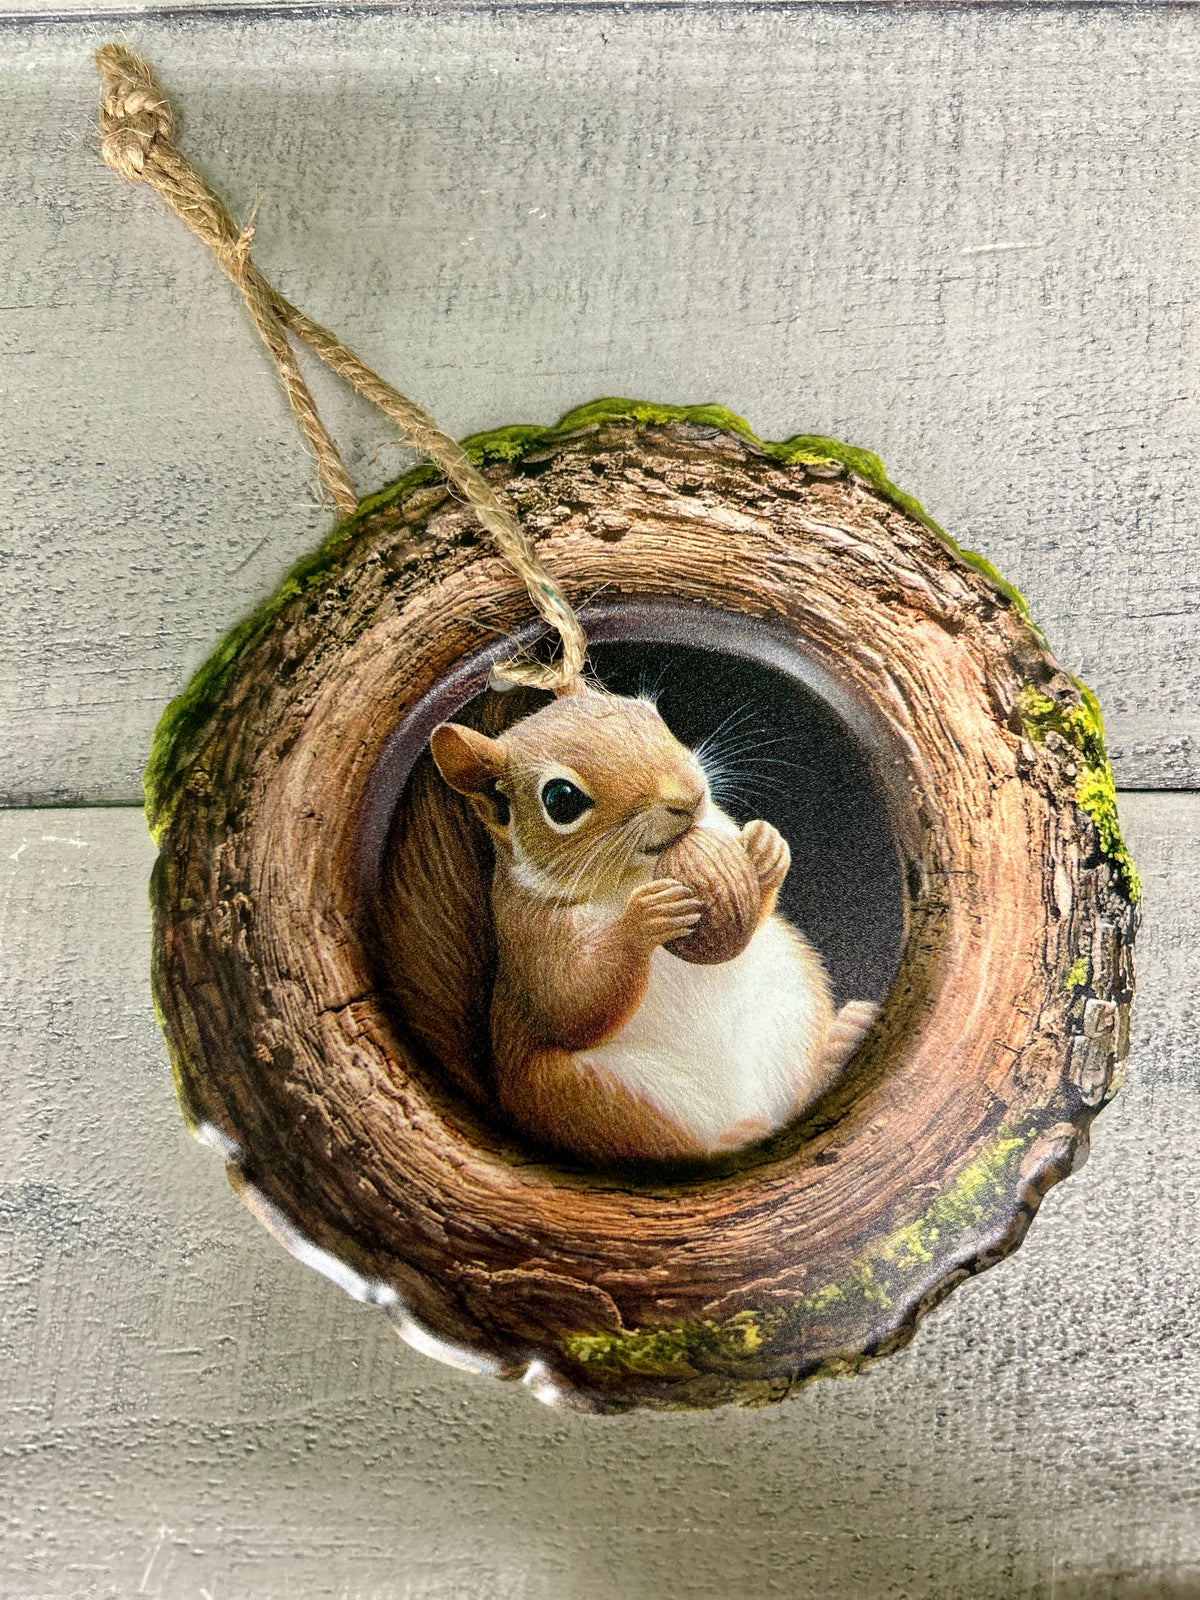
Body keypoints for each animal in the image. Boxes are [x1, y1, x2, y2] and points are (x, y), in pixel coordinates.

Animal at [377, 682, 878, 1165]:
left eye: (649, 714)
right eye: (561, 800)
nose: (687, 796)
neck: (634, 875)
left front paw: (763, 850)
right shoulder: (529, 934)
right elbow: (572, 1002)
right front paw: (642, 920)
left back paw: (841, 1042)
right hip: (593, 1098)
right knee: (662, 1152)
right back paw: (733, 1138)